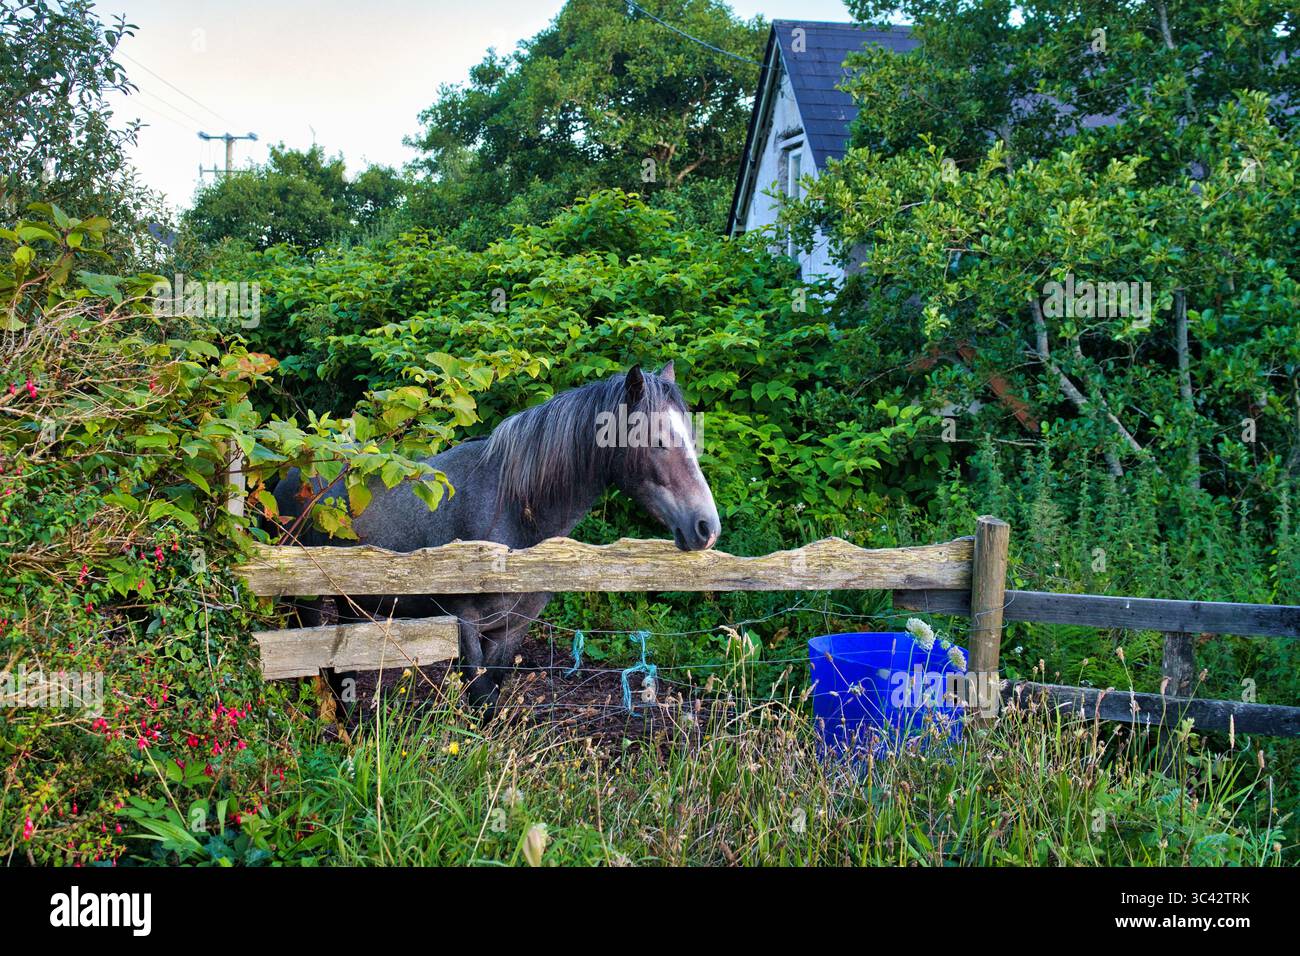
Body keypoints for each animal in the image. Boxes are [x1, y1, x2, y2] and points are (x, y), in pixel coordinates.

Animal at [272, 363, 720, 707]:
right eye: (658, 439)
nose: (707, 528)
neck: (512, 515)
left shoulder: (512, 628)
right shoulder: (464, 624)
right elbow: (479, 698)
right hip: (307, 601)